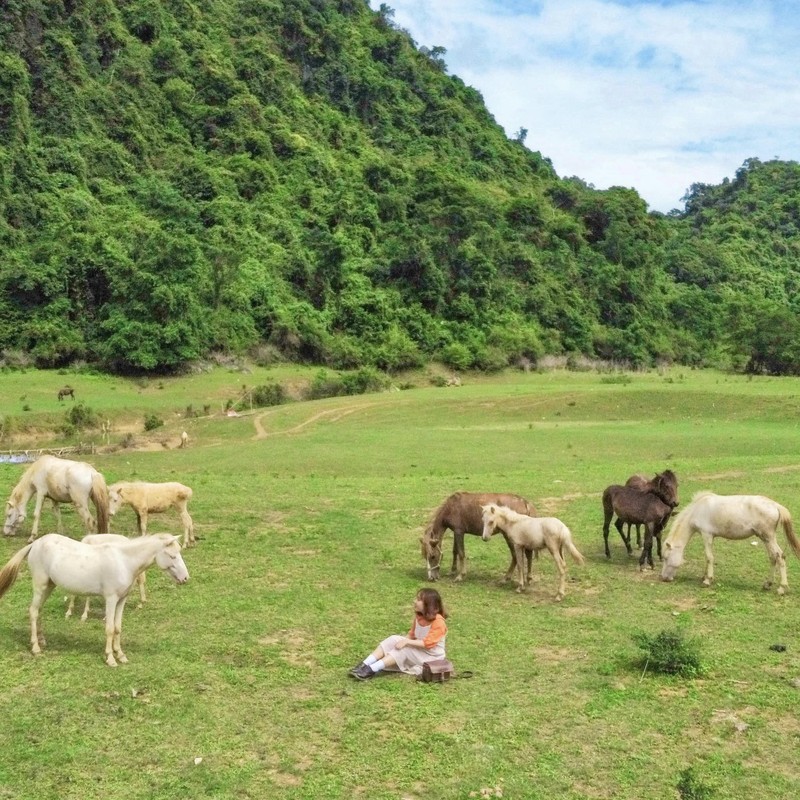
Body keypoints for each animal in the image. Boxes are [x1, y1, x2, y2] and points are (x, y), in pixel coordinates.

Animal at [0, 532, 189, 664]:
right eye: (172, 556)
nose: (185, 578)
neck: (124, 561)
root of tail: (35, 544)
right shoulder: (111, 599)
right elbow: (110, 628)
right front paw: (111, 658)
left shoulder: (122, 600)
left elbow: (118, 628)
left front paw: (121, 655)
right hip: (40, 586)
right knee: (33, 611)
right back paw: (35, 648)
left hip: (49, 586)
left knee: (38, 610)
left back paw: (42, 641)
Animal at [664, 488, 800, 592]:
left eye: (665, 558)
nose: (664, 578)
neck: (698, 509)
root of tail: (776, 506)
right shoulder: (710, 537)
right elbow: (708, 557)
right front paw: (704, 576)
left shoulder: (706, 535)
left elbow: (709, 557)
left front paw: (707, 580)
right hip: (766, 539)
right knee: (773, 557)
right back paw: (768, 584)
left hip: (768, 538)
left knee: (780, 556)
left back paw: (782, 588)